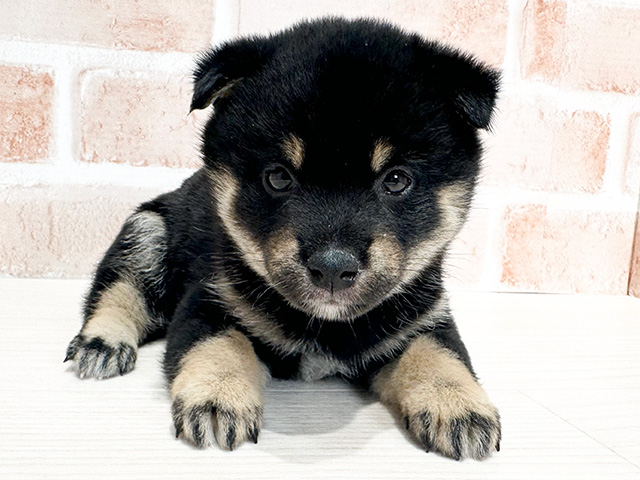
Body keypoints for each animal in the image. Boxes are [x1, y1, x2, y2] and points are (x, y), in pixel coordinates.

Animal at [67, 17, 502, 462]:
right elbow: (220, 343)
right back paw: (102, 344)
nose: (332, 267)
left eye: (396, 180)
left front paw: (458, 405)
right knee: (117, 291)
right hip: (146, 232)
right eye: (278, 177)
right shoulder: (207, 300)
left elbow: (442, 353)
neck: (327, 326)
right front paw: (218, 397)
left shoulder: (425, 317)